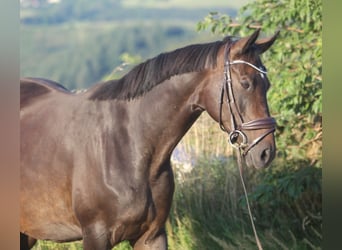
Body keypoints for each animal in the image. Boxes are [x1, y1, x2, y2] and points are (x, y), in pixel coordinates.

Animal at [20, 28, 280, 249]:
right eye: (246, 83)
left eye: (267, 84)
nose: (266, 152)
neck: (130, 144)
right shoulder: (95, 236)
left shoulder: (151, 235)